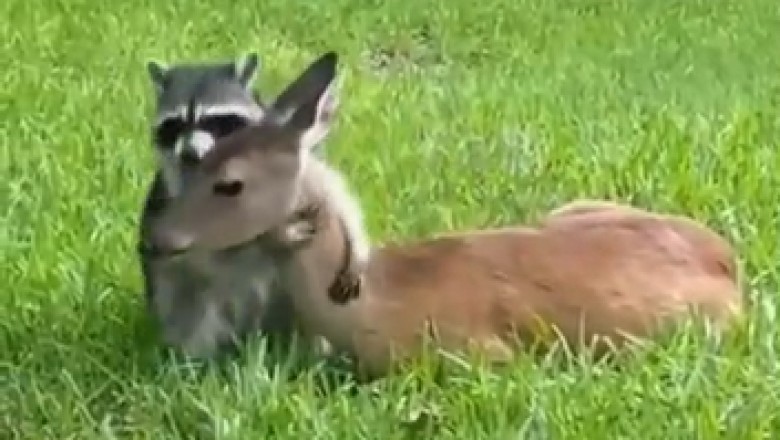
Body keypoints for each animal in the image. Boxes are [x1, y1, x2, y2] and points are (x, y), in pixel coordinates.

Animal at [142, 50, 745, 378]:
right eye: (202, 160)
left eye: (229, 183)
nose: (154, 237)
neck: (373, 306)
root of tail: (733, 270)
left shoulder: (479, 353)